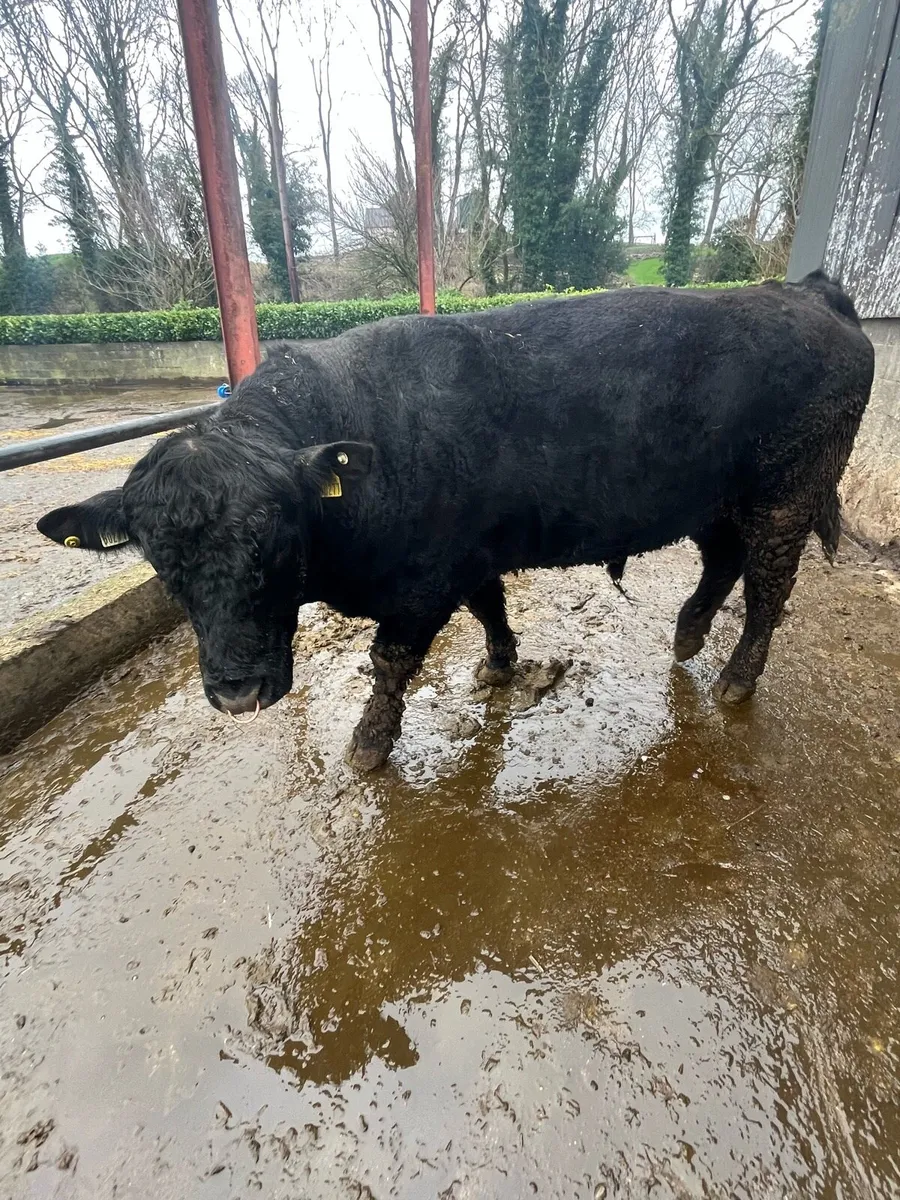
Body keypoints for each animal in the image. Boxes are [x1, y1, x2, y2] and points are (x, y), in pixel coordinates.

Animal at [38, 272, 874, 771]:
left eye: (272, 540)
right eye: (161, 564)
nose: (237, 693)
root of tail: (805, 291)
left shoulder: (422, 581)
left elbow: (390, 662)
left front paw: (369, 745)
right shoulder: (470, 552)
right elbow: (490, 604)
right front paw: (500, 663)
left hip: (787, 493)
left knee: (768, 587)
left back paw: (734, 677)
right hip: (718, 498)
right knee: (723, 561)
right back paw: (689, 633)